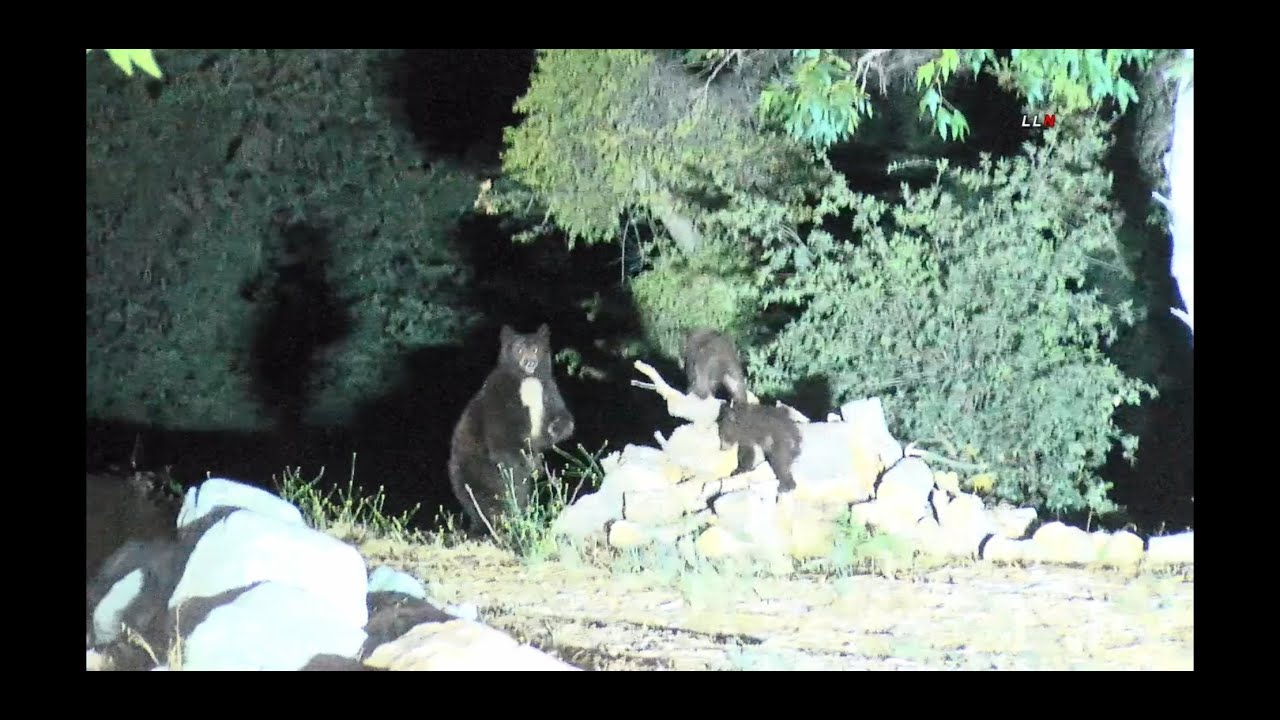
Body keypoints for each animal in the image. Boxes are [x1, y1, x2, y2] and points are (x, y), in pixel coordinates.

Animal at [447, 323, 575, 535]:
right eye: (519, 349)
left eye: (535, 349)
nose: (529, 362)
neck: (527, 381)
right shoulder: (501, 401)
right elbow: (503, 441)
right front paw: (532, 463)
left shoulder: (547, 391)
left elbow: (562, 415)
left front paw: (555, 429)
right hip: (477, 472)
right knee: (488, 500)